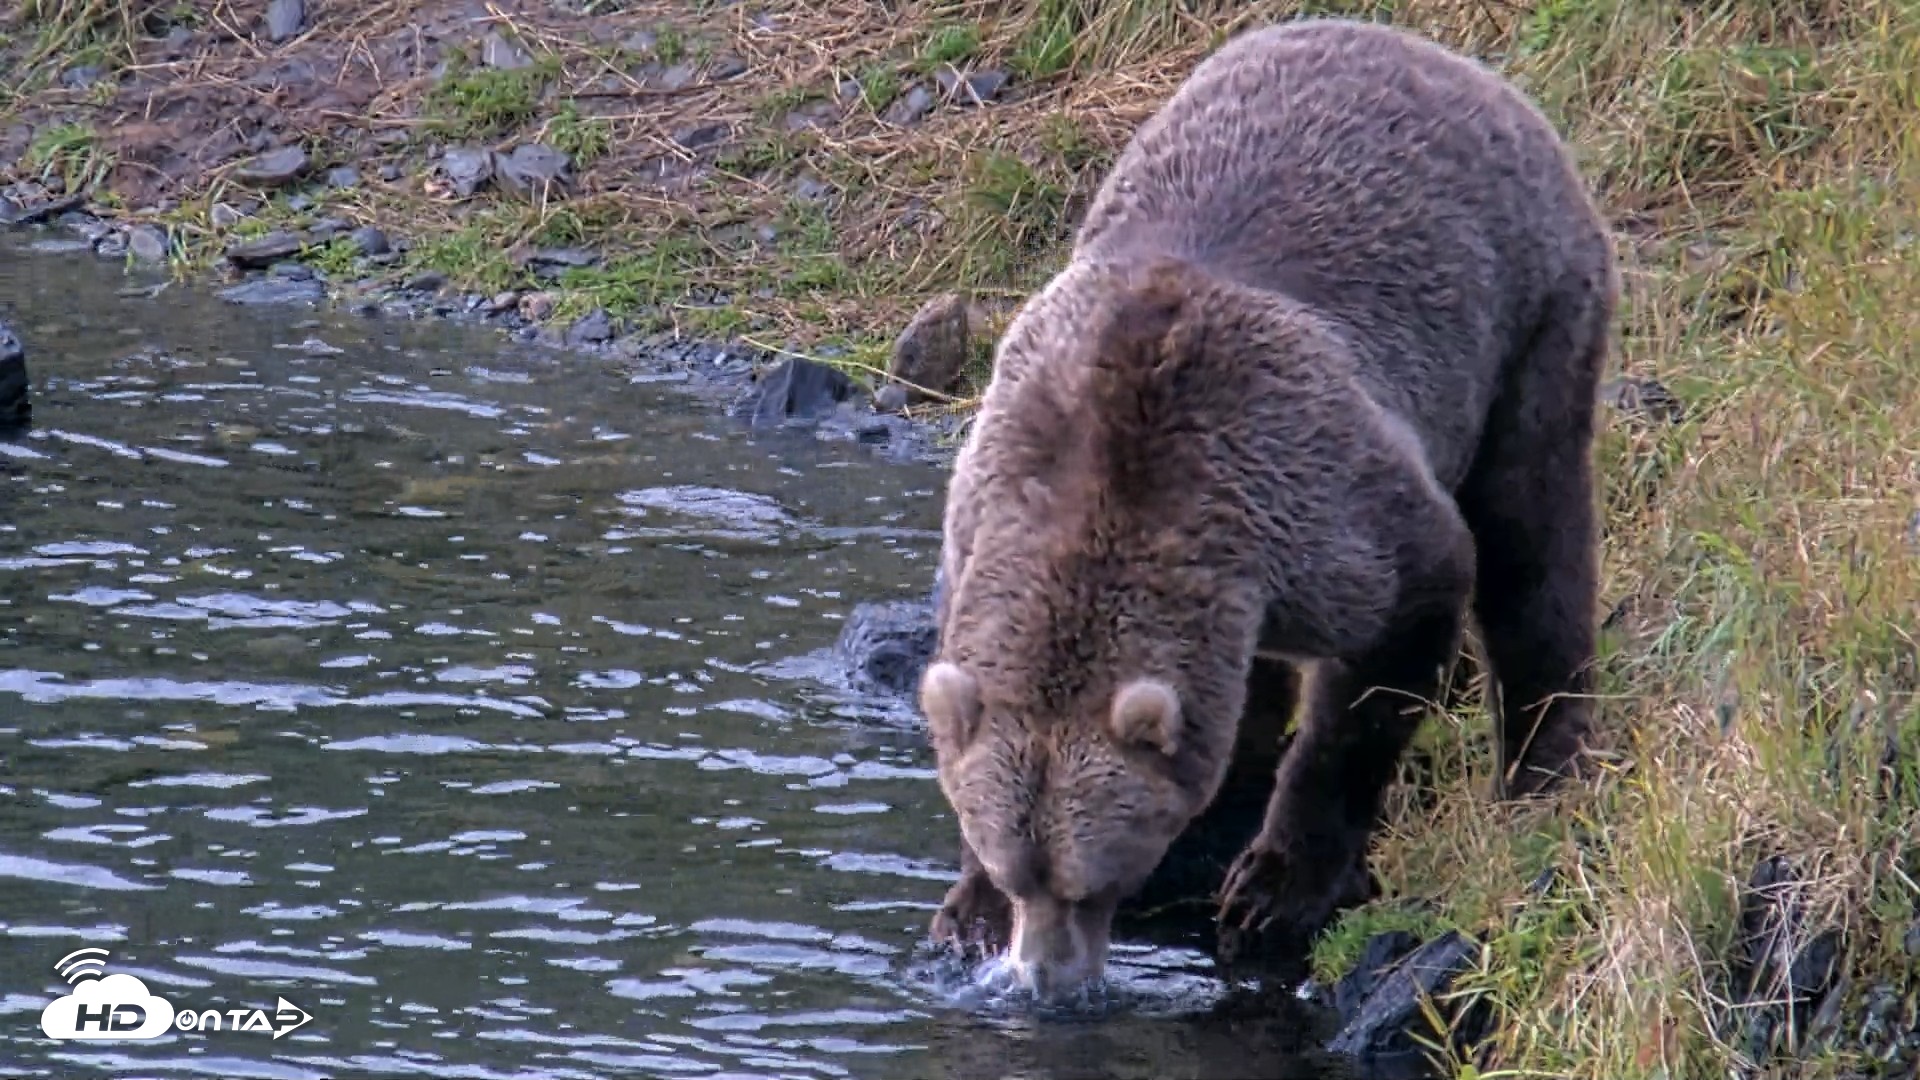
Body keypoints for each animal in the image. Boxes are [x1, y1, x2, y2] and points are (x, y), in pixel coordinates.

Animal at [915, 16, 1618, 998]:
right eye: (1023, 874)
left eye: (1095, 882)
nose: (1048, 980)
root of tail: (1428, 52)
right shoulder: (991, 495)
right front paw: (965, 914)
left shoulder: (1309, 490)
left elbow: (1401, 626)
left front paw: (1275, 887)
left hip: (1530, 307)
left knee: (1532, 532)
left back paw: (1541, 762)